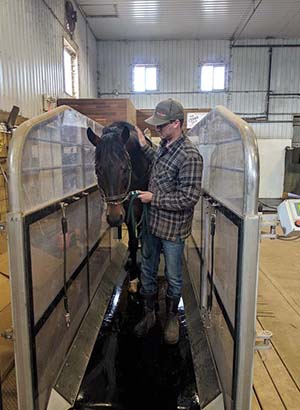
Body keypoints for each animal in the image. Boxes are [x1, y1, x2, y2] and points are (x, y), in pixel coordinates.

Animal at [87, 121, 152, 292]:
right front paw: (134, 275)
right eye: (98, 169)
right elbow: (133, 242)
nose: (115, 217)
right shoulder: (128, 214)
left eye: (124, 168)